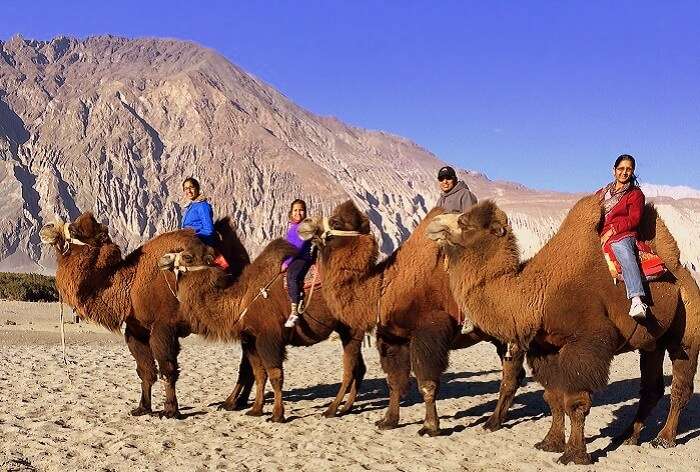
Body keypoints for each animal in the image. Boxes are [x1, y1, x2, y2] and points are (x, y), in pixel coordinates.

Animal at [426, 195, 700, 464]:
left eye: (464, 222)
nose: (433, 224)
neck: (537, 295)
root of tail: (684, 274)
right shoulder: (545, 348)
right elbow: (554, 399)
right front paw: (550, 443)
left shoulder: (586, 345)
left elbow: (576, 402)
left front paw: (575, 455)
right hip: (652, 343)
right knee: (651, 387)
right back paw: (627, 437)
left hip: (687, 329)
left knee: (680, 386)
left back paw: (663, 439)